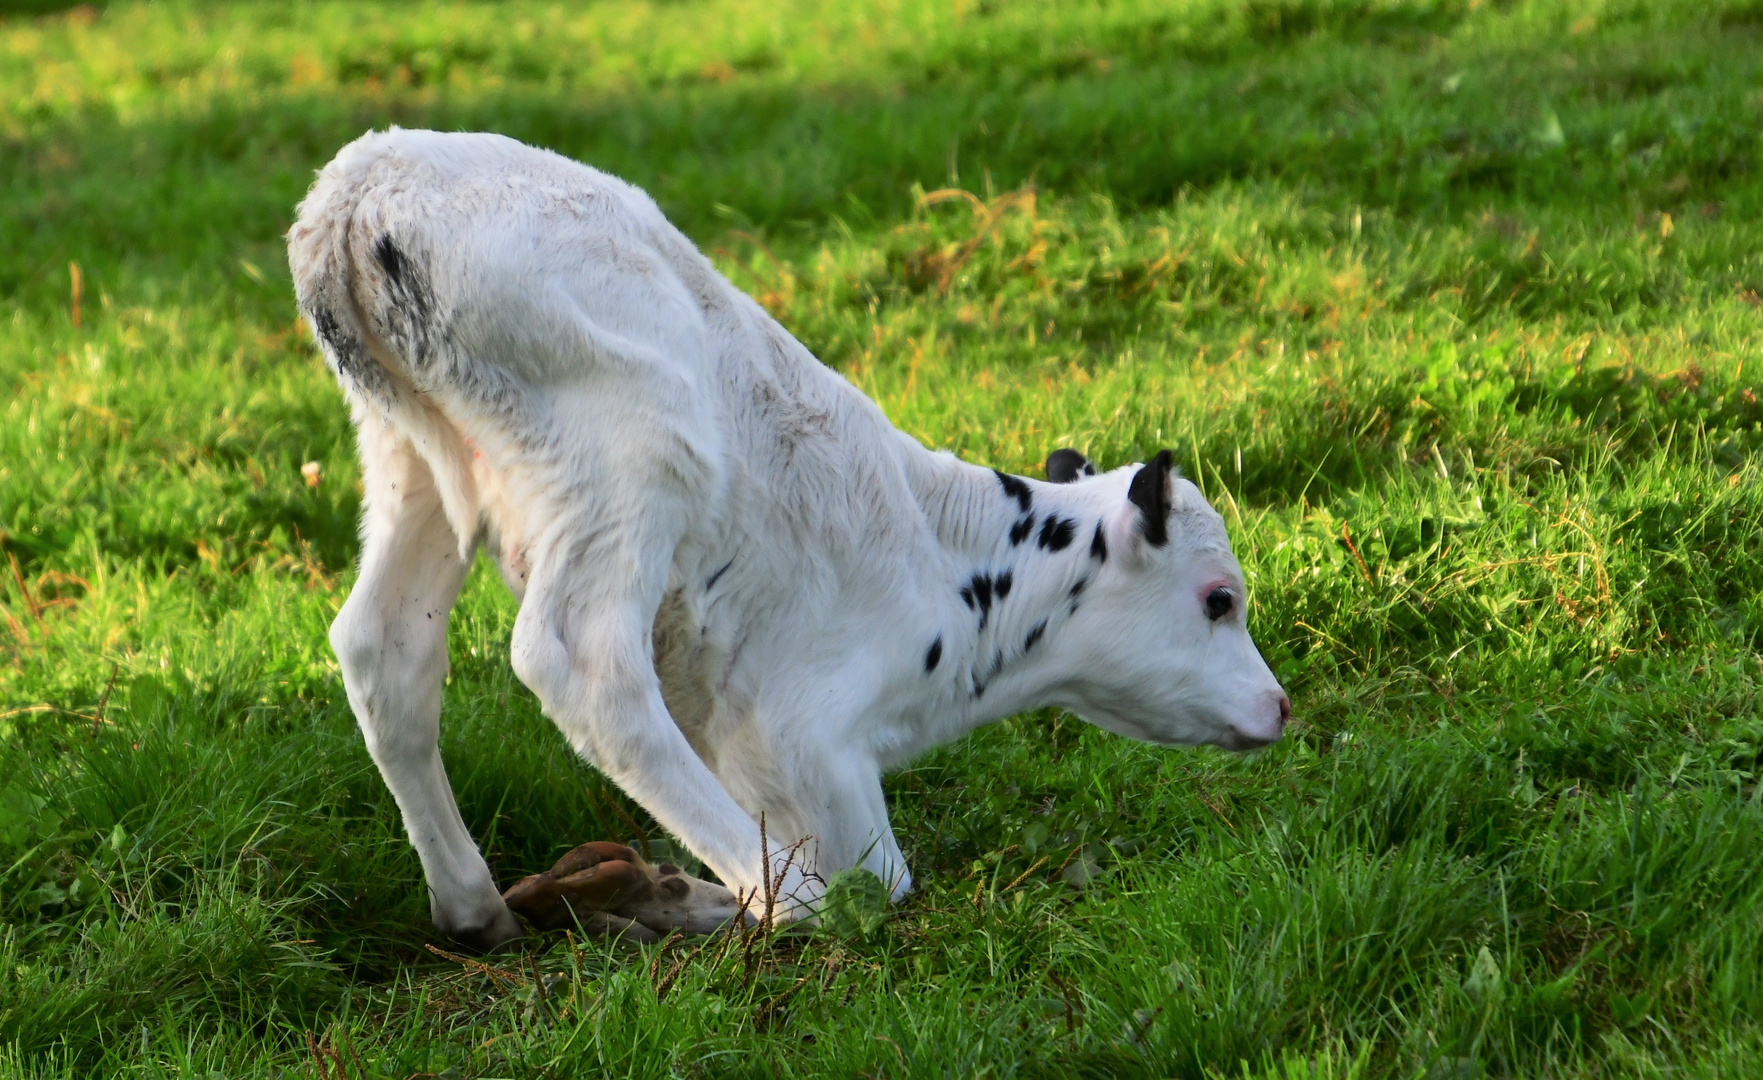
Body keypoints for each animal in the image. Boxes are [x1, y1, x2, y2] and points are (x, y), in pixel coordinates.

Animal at [285, 130, 1283, 944]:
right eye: (1218, 600)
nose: (1278, 707)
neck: (949, 573)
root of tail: (363, 185)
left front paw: (633, 891)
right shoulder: (806, 743)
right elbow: (885, 878)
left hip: (409, 461)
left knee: (385, 646)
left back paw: (478, 908)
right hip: (636, 446)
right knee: (583, 665)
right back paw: (788, 903)